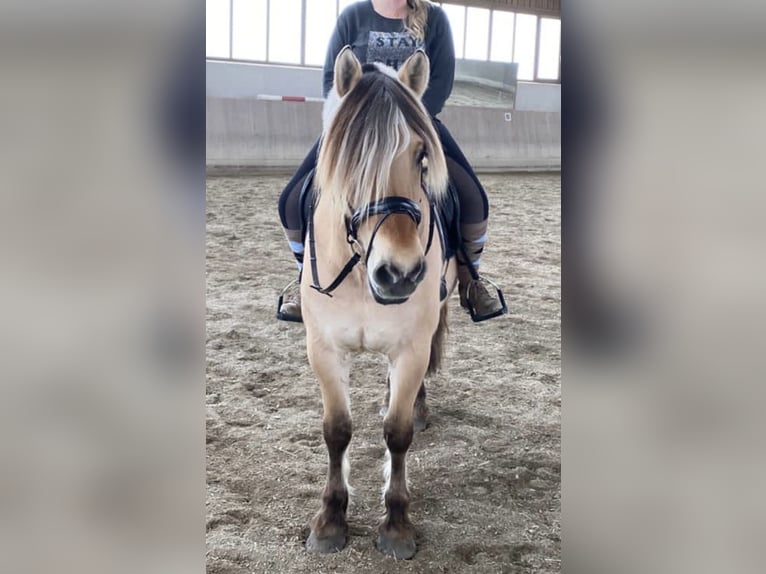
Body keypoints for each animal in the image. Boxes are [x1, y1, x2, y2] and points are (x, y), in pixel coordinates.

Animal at [300, 47, 456, 560]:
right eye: (351, 160)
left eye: (421, 155)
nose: (400, 273)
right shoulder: (324, 350)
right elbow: (337, 430)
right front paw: (330, 519)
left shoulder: (410, 348)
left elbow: (397, 432)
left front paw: (397, 524)